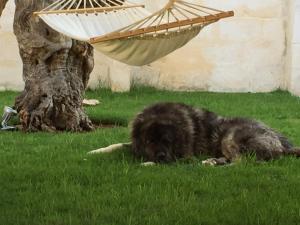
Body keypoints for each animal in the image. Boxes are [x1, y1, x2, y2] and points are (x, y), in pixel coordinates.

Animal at [87, 102, 300, 165]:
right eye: (150, 141)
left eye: (167, 141)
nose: (161, 155)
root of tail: (283, 144)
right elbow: (116, 145)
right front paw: (95, 152)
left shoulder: (184, 156)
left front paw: (148, 164)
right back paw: (213, 161)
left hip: (230, 136)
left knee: (242, 162)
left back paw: (212, 163)